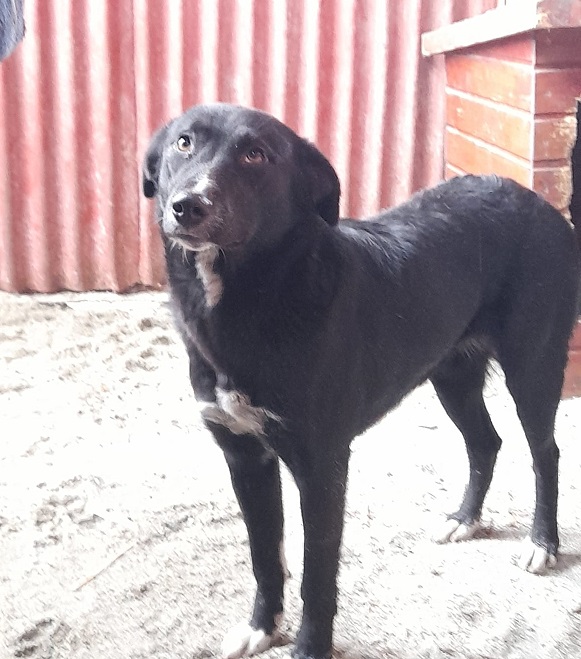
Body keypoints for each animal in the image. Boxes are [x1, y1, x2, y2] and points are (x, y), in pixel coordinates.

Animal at [142, 103, 580, 659]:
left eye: (255, 154)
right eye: (183, 143)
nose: (187, 206)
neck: (255, 298)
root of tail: (542, 204)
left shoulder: (322, 464)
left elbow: (316, 574)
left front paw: (310, 648)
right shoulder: (243, 456)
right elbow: (265, 556)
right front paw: (263, 627)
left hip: (533, 363)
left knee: (546, 453)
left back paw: (543, 544)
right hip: (451, 373)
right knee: (486, 441)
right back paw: (464, 519)